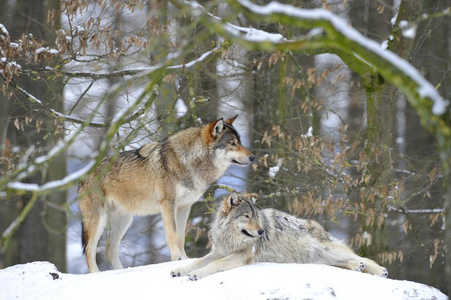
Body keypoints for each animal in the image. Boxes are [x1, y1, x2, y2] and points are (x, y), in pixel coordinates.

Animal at [77, 116, 254, 274]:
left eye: (240, 142)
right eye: (232, 143)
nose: (252, 157)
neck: (190, 161)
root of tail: (83, 174)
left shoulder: (185, 207)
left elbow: (181, 236)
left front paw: (184, 258)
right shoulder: (168, 204)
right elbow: (172, 234)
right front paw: (177, 259)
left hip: (125, 220)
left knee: (109, 247)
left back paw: (120, 272)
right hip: (98, 220)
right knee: (90, 249)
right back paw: (96, 273)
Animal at [171, 193, 390, 280]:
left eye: (256, 216)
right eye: (246, 216)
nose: (261, 231)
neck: (230, 237)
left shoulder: (242, 255)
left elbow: (213, 265)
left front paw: (196, 275)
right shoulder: (220, 252)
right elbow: (197, 261)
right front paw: (180, 270)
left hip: (327, 249)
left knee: (362, 257)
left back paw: (379, 270)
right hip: (318, 258)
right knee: (348, 262)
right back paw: (358, 267)